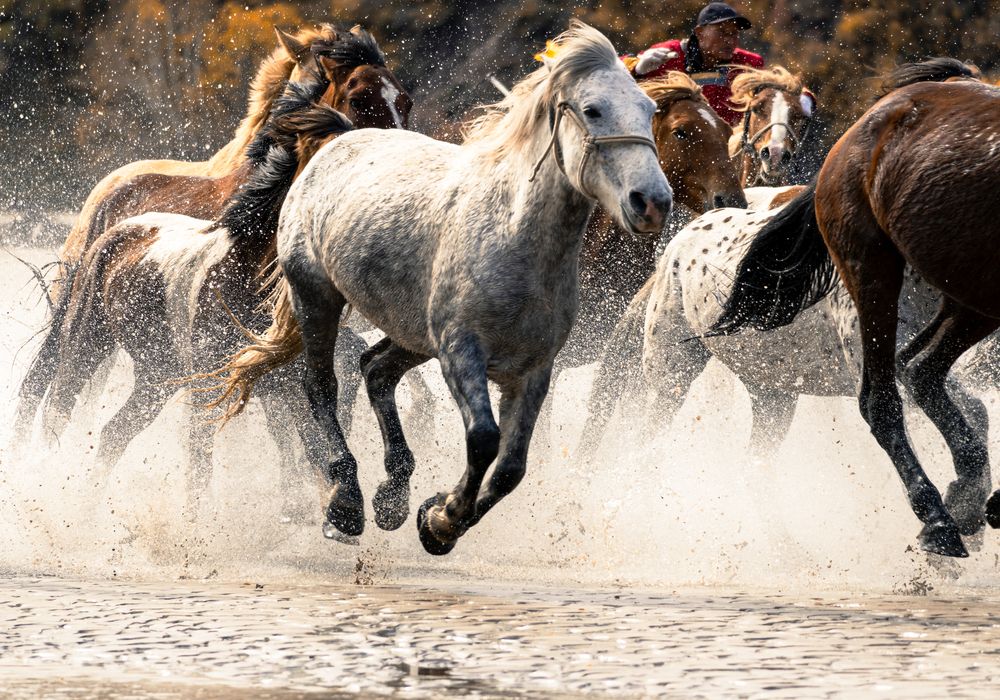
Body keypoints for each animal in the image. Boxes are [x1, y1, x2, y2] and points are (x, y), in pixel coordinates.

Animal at [30, 77, 355, 520]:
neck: (245, 277)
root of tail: (115, 225)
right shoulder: (206, 386)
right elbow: (201, 467)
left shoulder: (290, 392)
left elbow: (320, 456)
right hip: (88, 343)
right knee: (58, 412)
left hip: (156, 376)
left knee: (114, 433)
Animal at [206, 22, 671, 555]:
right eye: (592, 109)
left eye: (649, 110)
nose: (653, 203)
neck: (512, 233)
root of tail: (339, 139)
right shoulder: (461, 352)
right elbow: (484, 440)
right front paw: (443, 520)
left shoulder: (533, 369)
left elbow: (511, 468)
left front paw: (433, 515)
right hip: (316, 297)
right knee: (321, 386)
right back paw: (346, 504)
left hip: (411, 333)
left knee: (376, 370)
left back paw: (392, 497)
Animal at [710, 58, 997, 558]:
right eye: (758, 108)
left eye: (800, 115)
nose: (775, 155)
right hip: (874, 271)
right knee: (884, 397)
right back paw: (940, 518)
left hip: (966, 294)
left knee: (918, 367)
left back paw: (963, 497)